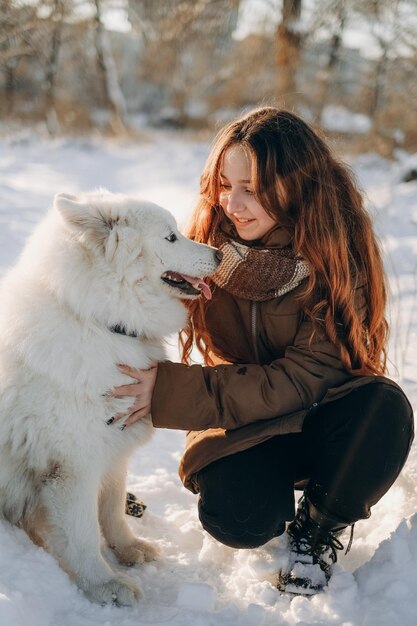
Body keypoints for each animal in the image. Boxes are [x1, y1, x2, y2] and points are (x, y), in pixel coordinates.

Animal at [0, 188, 221, 604]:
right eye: (171, 237)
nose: (219, 254)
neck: (99, 321)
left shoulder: (114, 448)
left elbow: (113, 510)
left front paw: (129, 549)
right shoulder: (72, 467)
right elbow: (84, 534)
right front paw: (105, 585)